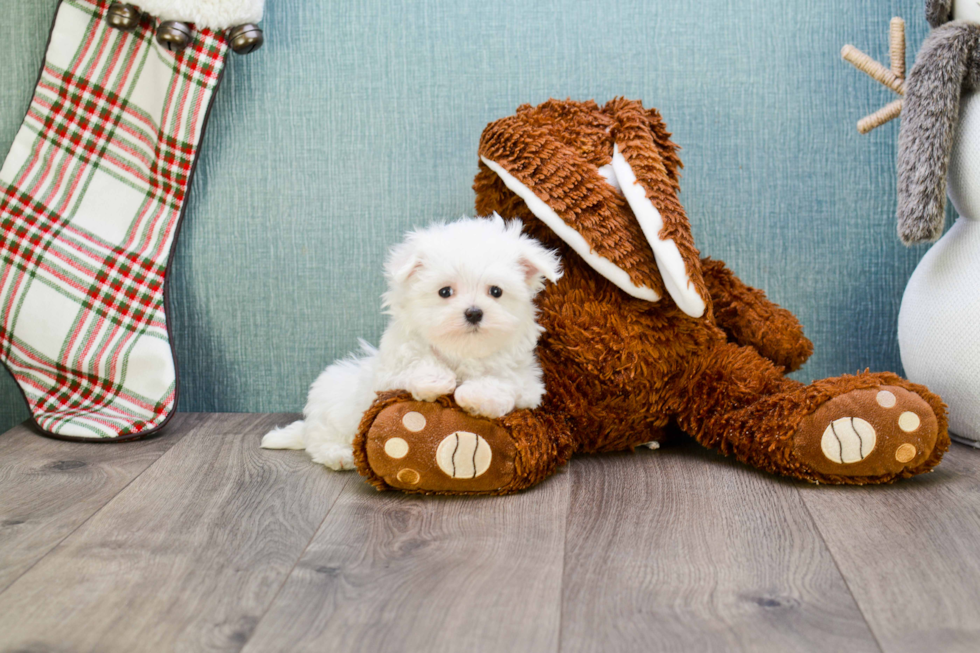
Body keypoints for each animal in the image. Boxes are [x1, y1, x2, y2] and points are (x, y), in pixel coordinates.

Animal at [260, 215, 564, 468]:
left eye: (496, 291)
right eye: (445, 292)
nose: (474, 312)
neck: (460, 352)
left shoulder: (527, 383)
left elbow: (502, 381)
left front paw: (476, 396)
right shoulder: (390, 373)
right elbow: (417, 364)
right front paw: (436, 381)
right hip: (334, 407)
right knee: (320, 440)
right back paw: (339, 455)